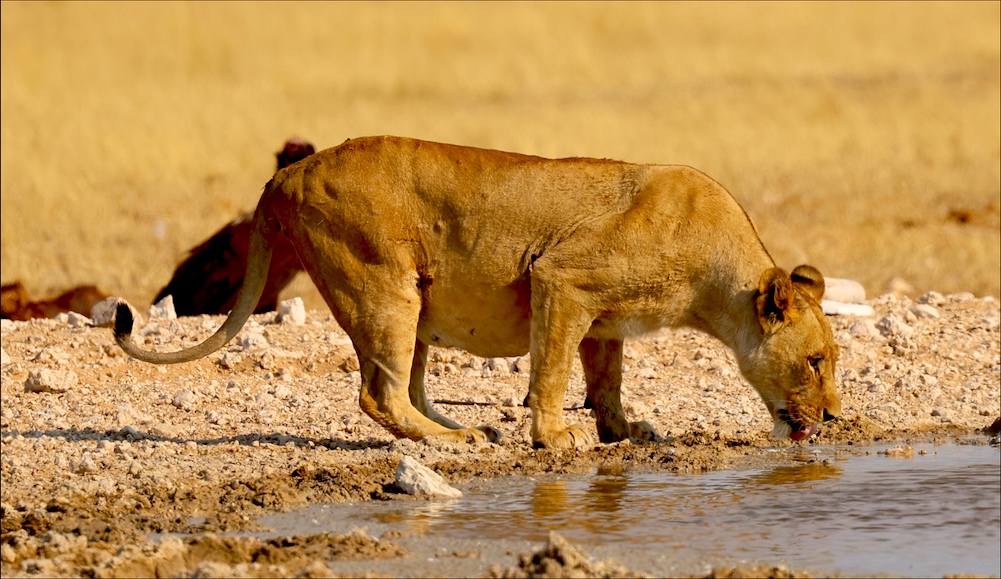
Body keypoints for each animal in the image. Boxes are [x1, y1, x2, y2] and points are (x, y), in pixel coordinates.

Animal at [114, 136, 842, 449]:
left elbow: (605, 381)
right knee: (378, 394)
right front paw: (556, 438)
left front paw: (624, 431)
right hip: (383, 286)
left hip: (410, 301)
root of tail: (293, 170)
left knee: (406, 387)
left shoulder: (604, 319)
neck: (716, 282)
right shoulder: (561, 279)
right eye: (815, 362)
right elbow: (551, 372)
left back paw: (463, 427)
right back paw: (450, 443)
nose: (835, 417)